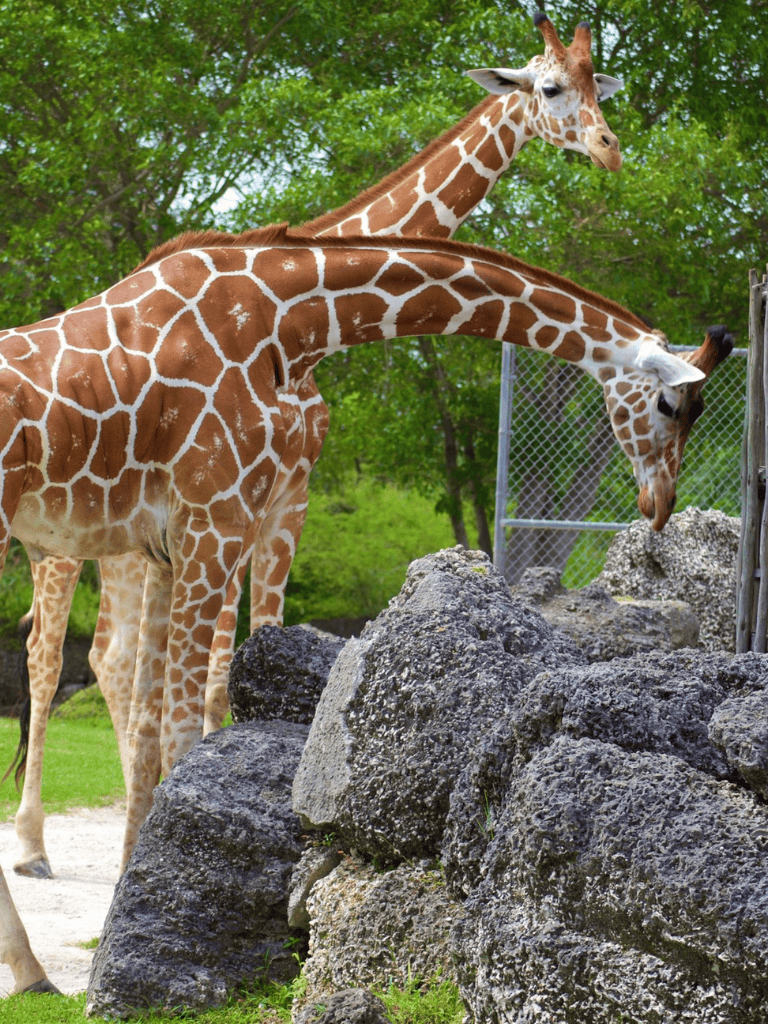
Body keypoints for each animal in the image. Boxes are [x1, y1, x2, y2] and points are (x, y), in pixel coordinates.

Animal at [0, 227, 733, 887]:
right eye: (671, 404)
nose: (659, 504)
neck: (284, 317)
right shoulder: (218, 520)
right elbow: (185, 727)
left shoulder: (167, 545)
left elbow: (154, 729)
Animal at [9, 9, 625, 879]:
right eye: (548, 87)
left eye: (598, 84)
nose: (608, 147)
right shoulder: (251, 505)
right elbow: (219, 673)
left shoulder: (273, 502)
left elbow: (236, 661)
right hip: (66, 551)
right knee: (49, 656)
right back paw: (30, 844)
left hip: (119, 551)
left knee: (111, 663)